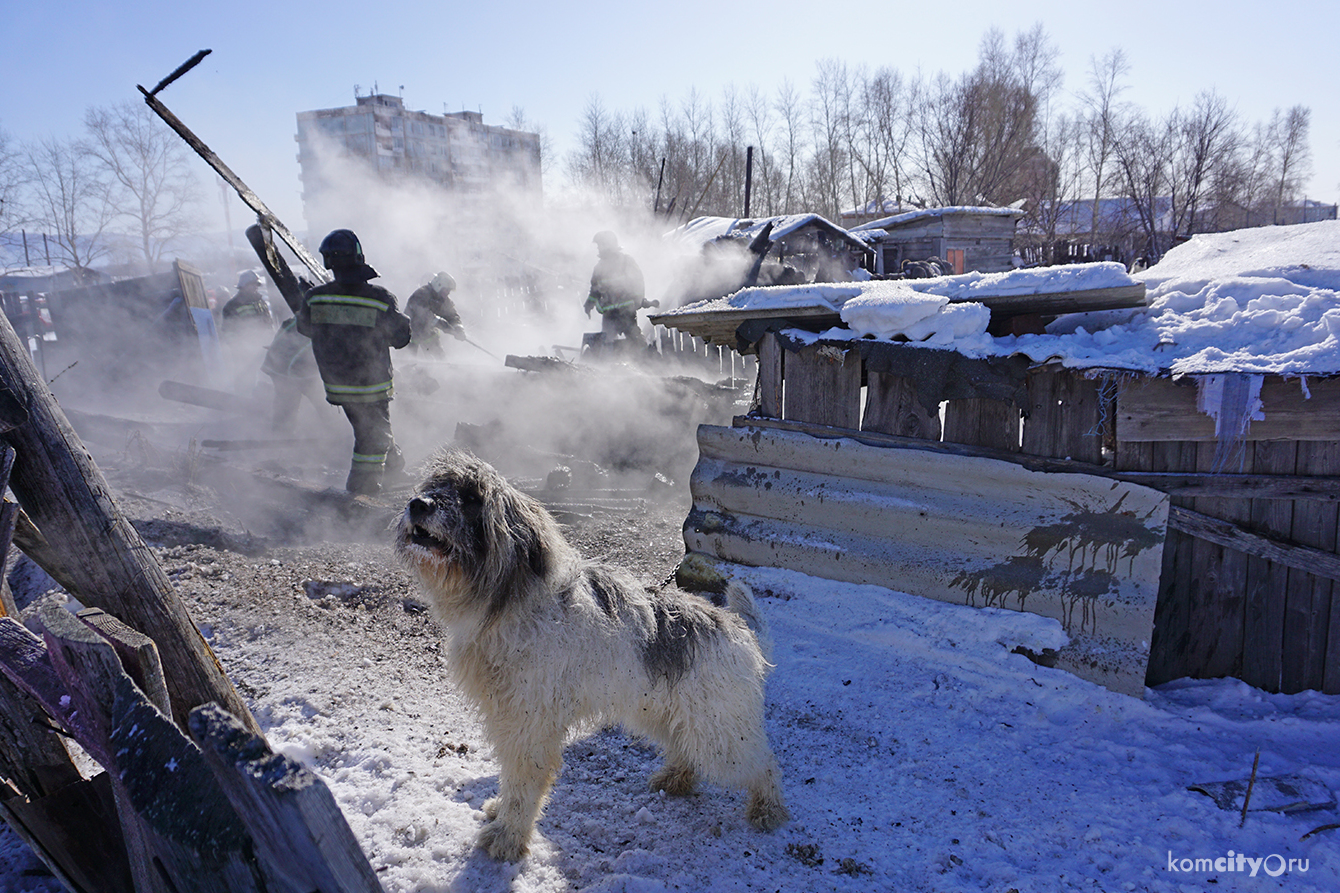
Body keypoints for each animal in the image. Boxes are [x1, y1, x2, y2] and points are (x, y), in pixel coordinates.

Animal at [391, 447, 782, 858]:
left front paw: (508, 836)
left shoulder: (530, 723)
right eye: (436, 486)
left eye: (471, 497)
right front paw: (502, 813)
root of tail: (740, 628)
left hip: (719, 732)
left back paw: (767, 809)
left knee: (765, 763)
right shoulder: (508, 716)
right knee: (687, 748)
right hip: (667, 713)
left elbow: (523, 781)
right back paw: (677, 778)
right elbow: (511, 776)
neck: (509, 603)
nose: (418, 504)